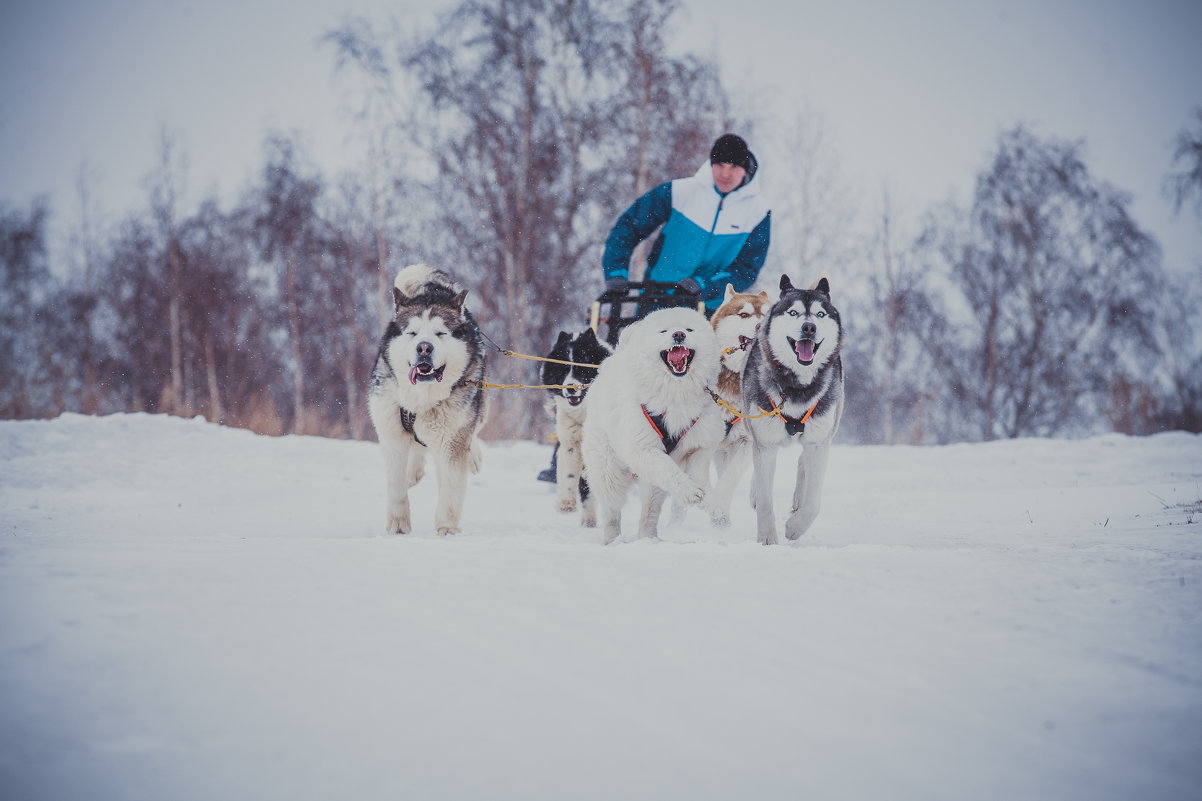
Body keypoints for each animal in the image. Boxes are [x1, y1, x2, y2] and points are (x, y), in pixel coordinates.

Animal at [581, 305, 721, 543]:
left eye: (689, 329)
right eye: (664, 331)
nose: (678, 335)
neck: (675, 393)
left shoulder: (700, 443)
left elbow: (697, 470)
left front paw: (707, 498)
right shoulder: (644, 448)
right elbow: (670, 470)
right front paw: (690, 492)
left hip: (650, 484)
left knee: (650, 513)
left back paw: (650, 539)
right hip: (608, 469)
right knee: (611, 511)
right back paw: (613, 541)